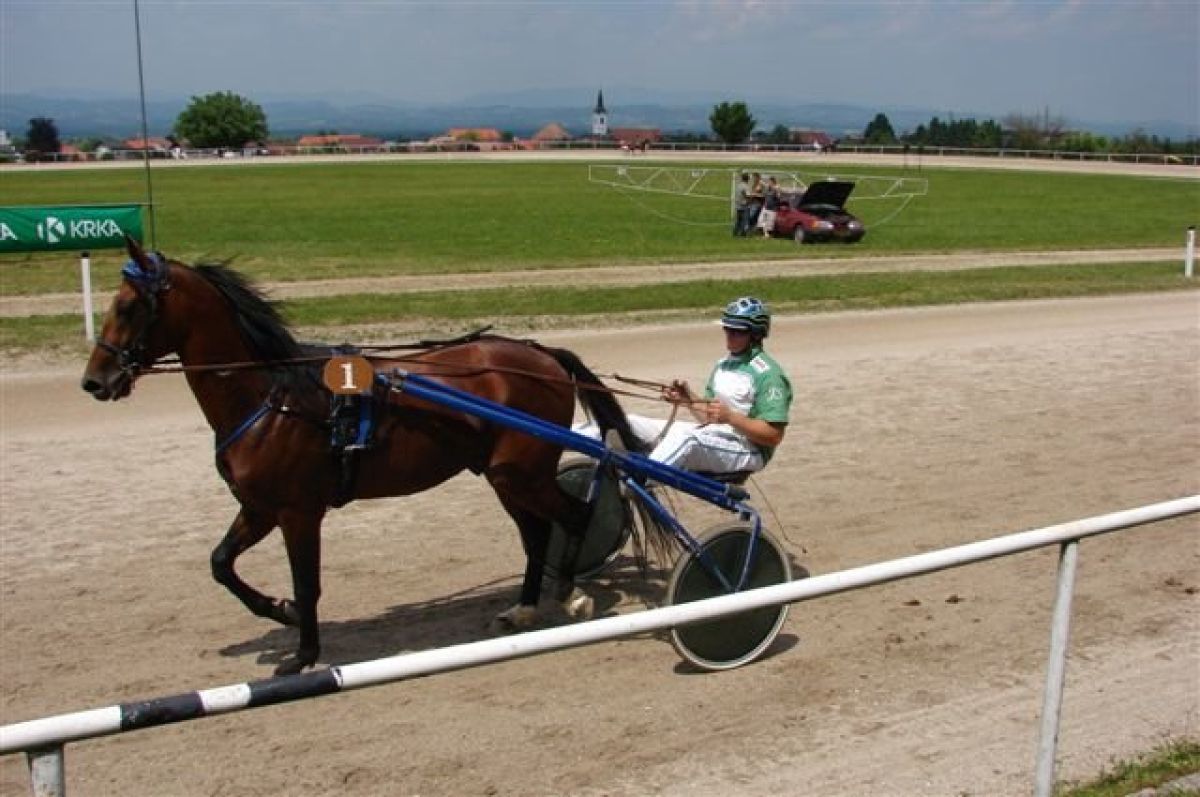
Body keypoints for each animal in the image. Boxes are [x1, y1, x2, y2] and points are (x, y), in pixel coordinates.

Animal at [82, 236, 640, 675]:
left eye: (128, 306)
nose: (93, 381)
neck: (272, 397)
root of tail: (541, 353)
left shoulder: (298, 511)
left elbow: (307, 583)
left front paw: (302, 654)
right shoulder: (259, 507)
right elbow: (220, 563)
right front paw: (278, 610)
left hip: (523, 471)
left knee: (575, 515)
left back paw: (569, 592)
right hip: (504, 475)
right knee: (537, 533)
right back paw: (524, 608)